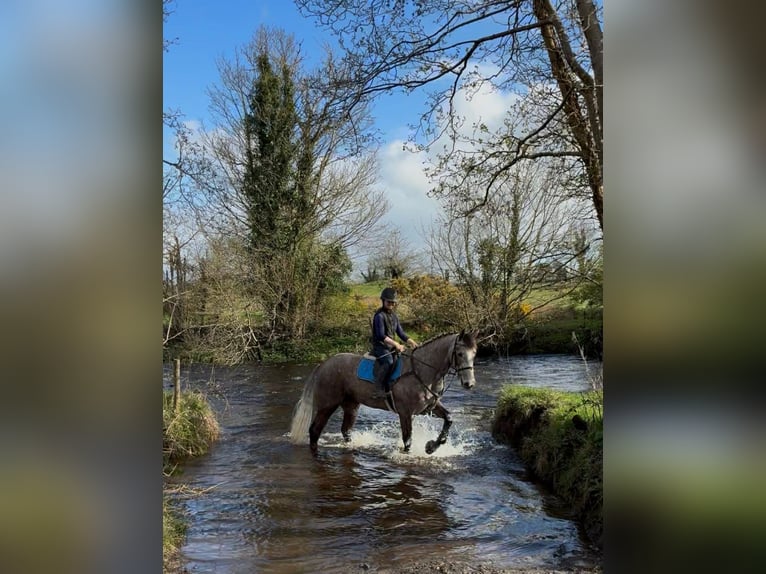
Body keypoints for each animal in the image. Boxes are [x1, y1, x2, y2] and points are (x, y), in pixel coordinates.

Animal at [289, 330, 478, 454]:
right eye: (460, 354)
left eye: (474, 354)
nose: (469, 384)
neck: (422, 371)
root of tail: (323, 364)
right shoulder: (405, 413)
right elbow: (407, 439)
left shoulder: (428, 408)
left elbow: (449, 419)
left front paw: (431, 447)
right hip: (327, 405)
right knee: (314, 430)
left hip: (351, 406)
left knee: (346, 430)